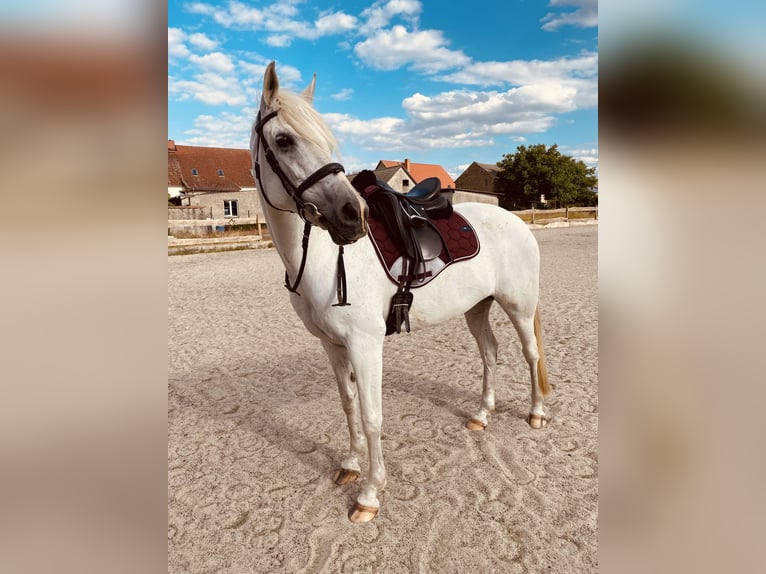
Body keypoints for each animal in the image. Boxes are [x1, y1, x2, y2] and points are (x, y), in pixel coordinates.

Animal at [250, 62, 550, 523]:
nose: (351, 216)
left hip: (518, 305)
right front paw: (350, 465)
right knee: (490, 352)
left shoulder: (365, 344)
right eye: (284, 140)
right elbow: (348, 404)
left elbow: (372, 415)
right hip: (477, 308)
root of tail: (515, 220)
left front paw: (370, 494)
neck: (322, 258)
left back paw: (535, 414)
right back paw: (482, 415)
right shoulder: (331, 345)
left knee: (529, 353)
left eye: (328, 140)